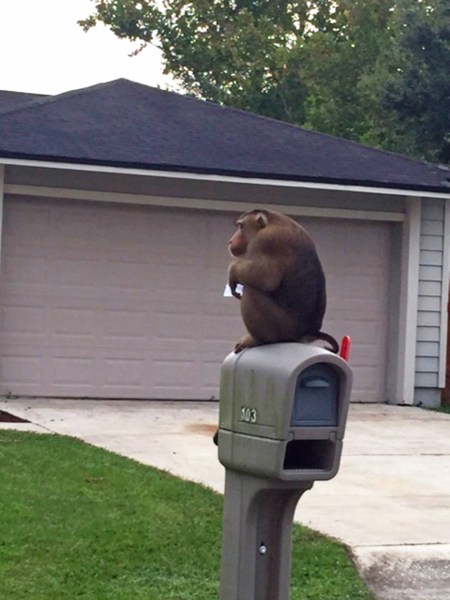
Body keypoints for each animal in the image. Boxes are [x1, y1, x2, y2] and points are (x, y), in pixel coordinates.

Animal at [229, 209, 338, 354]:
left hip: (283, 330)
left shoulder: (266, 240)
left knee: (251, 290)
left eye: (241, 226)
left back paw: (258, 340)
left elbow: (266, 277)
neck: (271, 221)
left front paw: (233, 271)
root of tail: (309, 332)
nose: (231, 241)